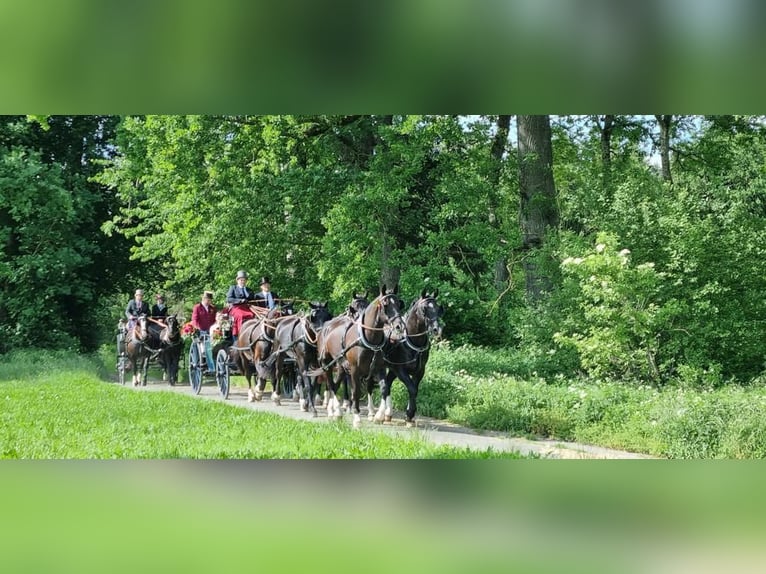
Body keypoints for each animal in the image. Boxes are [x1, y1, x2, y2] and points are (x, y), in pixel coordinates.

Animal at [314, 286, 408, 430]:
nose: (399, 326)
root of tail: (326, 326)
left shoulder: (378, 368)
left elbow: (384, 388)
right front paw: (357, 418)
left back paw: (337, 412)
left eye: (399, 304)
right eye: (385, 305)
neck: (368, 338)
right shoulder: (354, 370)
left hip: (341, 366)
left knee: (335, 385)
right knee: (330, 385)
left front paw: (378, 415)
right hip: (327, 363)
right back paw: (333, 411)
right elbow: (356, 392)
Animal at [376, 292, 448, 428]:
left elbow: (414, 389)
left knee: (387, 384)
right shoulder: (400, 370)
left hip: (392, 369)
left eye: (438, 308)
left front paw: (409, 417)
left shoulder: (419, 371)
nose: (436, 329)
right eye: (424, 309)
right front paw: (409, 414)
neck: (411, 342)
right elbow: (412, 389)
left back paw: (388, 414)